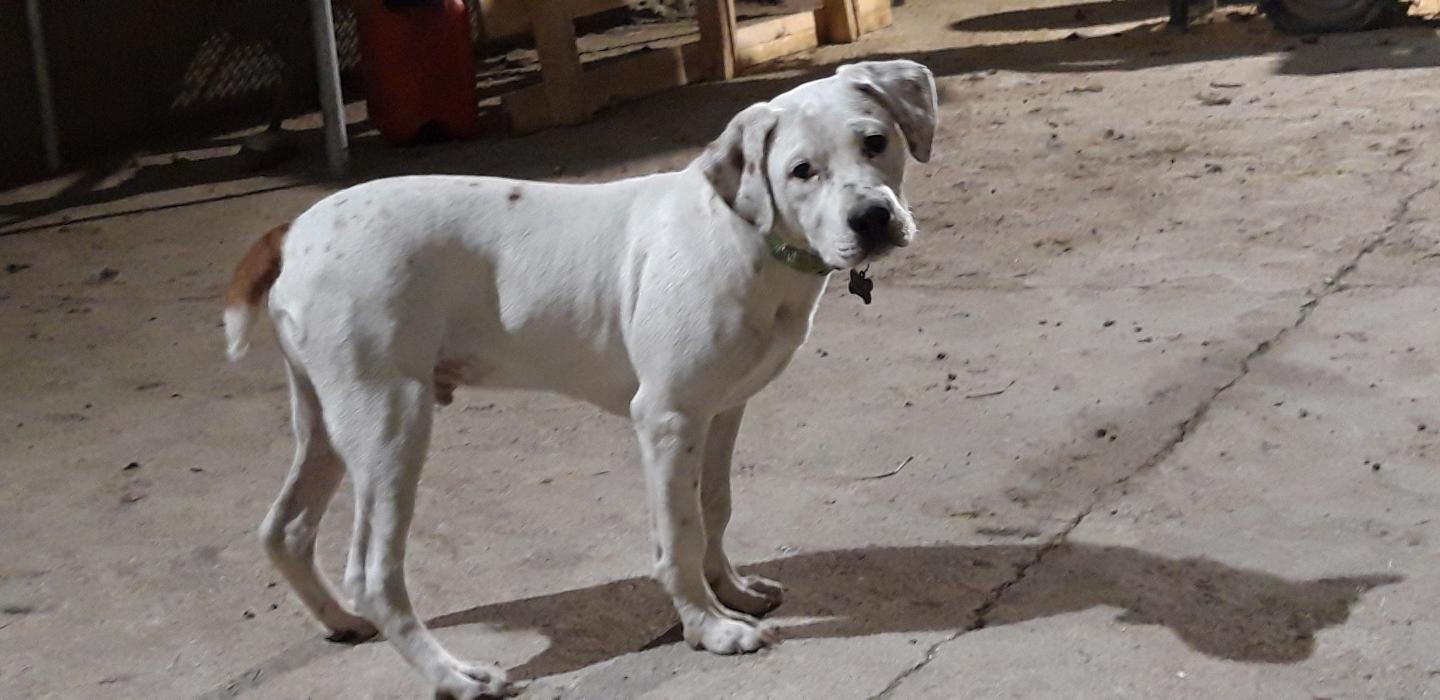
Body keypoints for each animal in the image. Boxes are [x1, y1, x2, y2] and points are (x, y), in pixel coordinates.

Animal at [223, 59, 937, 699]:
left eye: (876, 142)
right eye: (800, 171)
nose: (872, 219)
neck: (745, 235)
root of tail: (294, 229)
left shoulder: (721, 410)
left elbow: (713, 508)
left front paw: (732, 591)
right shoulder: (667, 417)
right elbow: (678, 536)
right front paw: (710, 629)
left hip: (326, 419)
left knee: (284, 529)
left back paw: (343, 623)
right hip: (390, 422)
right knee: (373, 573)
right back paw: (454, 676)